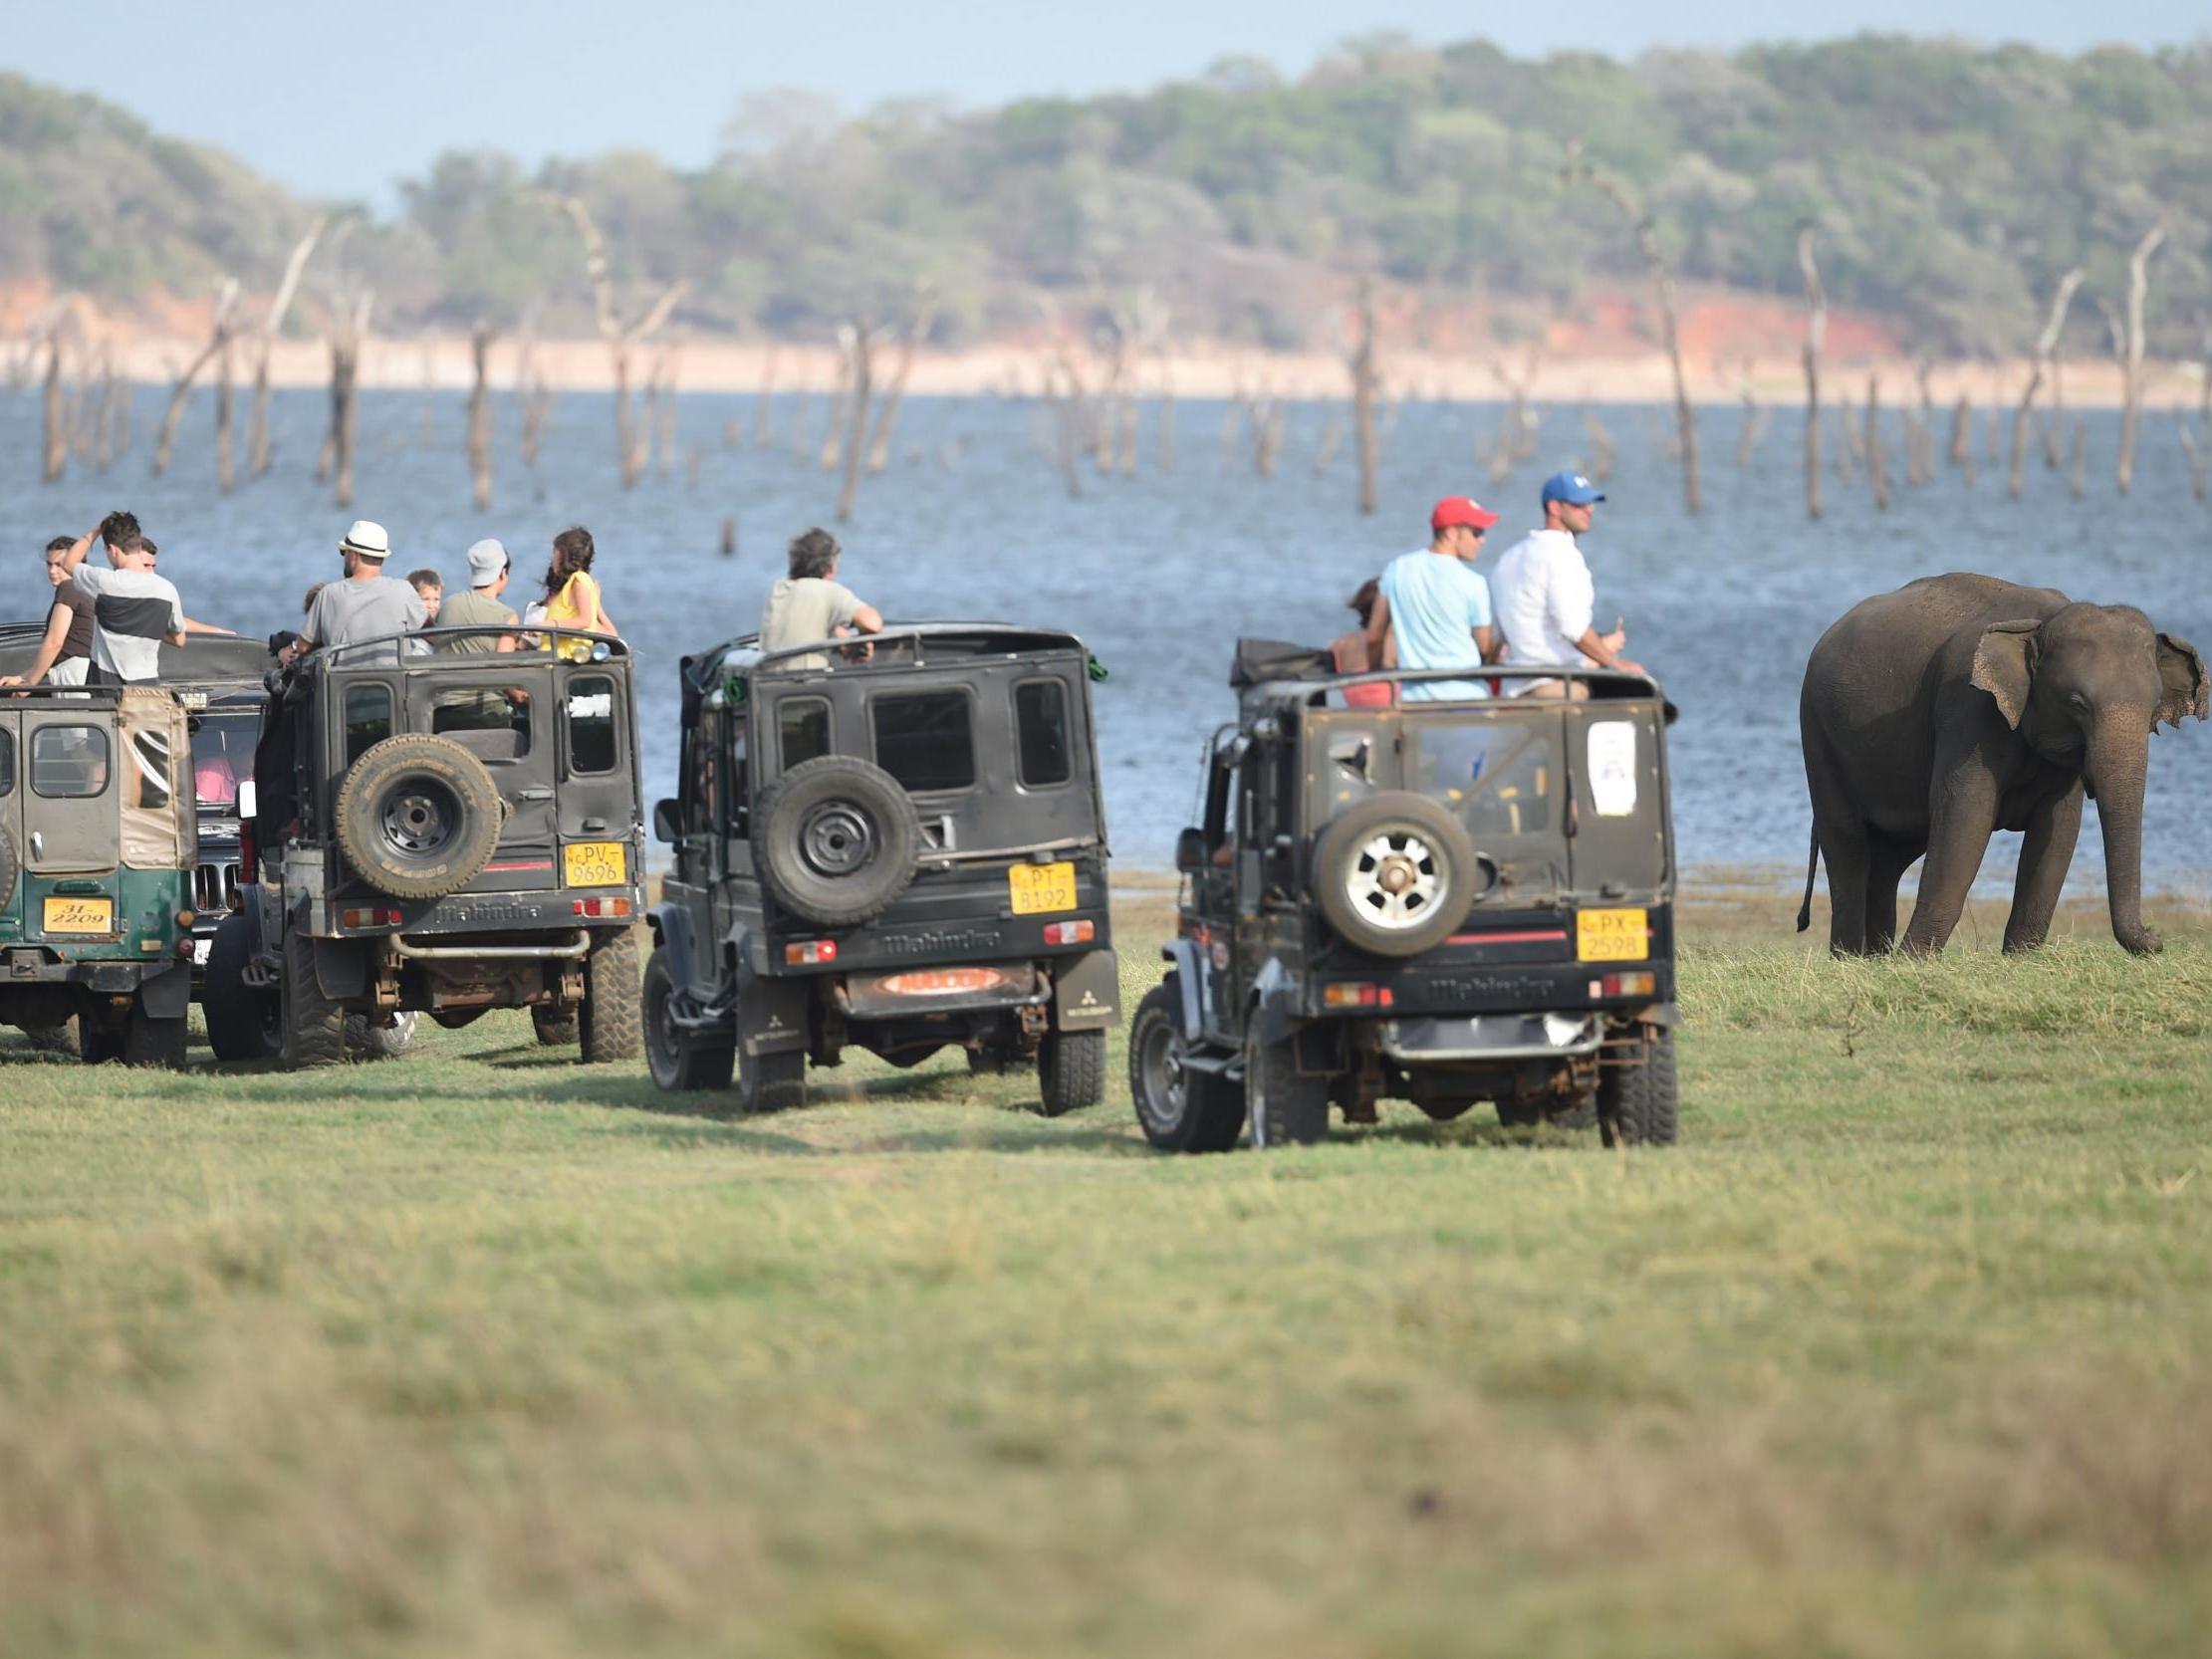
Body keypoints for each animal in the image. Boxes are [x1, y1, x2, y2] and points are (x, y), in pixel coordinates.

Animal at [1805, 575, 2203, 955]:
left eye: (2154, 707)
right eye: (2077, 703)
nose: (2156, 938)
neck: (2043, 622)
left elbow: (2057, 831)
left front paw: (2021, 958)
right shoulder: (1967, 709)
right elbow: (1966, 818)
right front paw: (1913, 961)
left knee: (1890, 858)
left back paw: (1875, 958)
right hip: (1819, 735)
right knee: (1847, 845)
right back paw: (1851, 958)